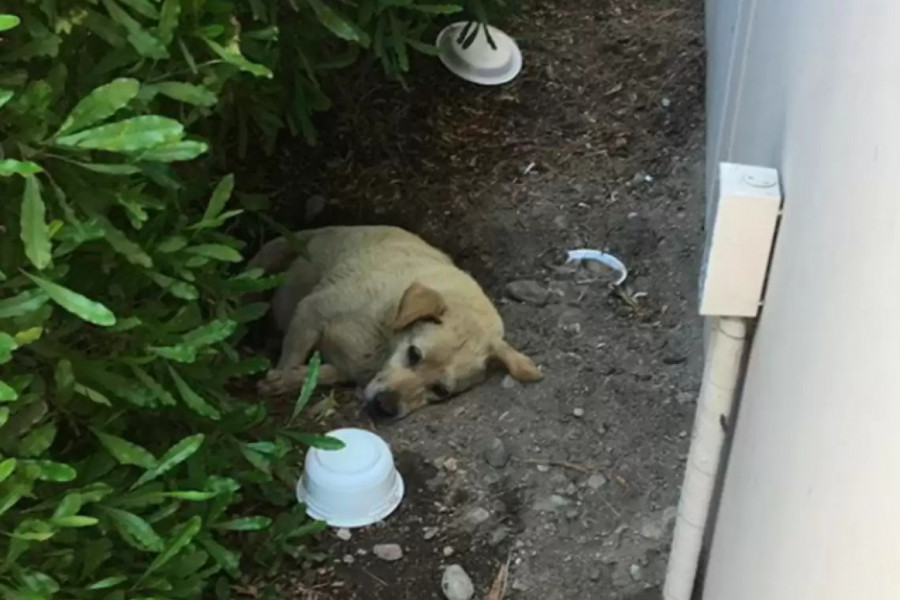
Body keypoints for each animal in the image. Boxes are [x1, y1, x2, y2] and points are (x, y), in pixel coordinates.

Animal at [248, 225, 540, 418]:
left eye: (440, 391)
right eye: (414, 354)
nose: (384, 407)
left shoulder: (344, 368)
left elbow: (318, 374)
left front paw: (287, 380)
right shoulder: (310, 314)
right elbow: (292, 357)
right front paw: (278, 379)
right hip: (276, 251)